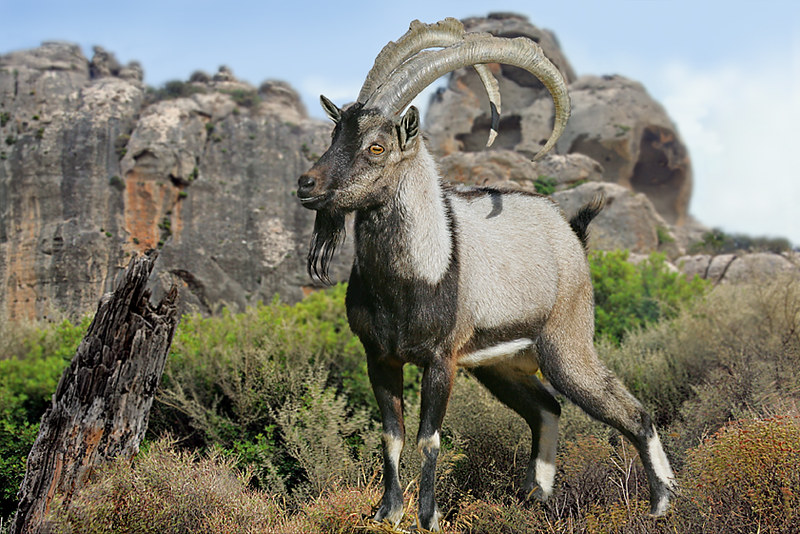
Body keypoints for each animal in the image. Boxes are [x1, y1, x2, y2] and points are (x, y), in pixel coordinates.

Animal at [296, 16, 672, 532]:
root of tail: (571, 233)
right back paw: (535, 499)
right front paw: (386, 512)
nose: (306, 184)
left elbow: (428, 439)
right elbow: (392, 435)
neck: (409, 278)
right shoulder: (380, 358)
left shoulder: (441, 360)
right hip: (502, 364)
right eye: (336, 136)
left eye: (376, 146)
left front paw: (428, 517)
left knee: (633, 413)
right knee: (547, 409)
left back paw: (663, 502)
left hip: (567, 345)